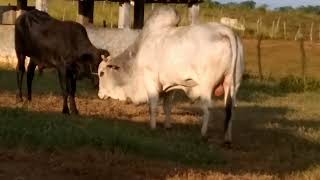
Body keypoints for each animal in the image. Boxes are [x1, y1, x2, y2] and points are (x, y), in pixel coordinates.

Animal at [99, 7, 244, 145]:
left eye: (101, 73)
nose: (99, 94)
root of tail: (225, 31)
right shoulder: (171, 85)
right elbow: (167, 106)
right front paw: (168, 126)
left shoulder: (150, 80)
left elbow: (153, 105)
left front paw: (152, 127)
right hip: (233, 84)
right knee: (230, 109)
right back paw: (227, 138)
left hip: (206, 86)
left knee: (208, 108)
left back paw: (203, 135)